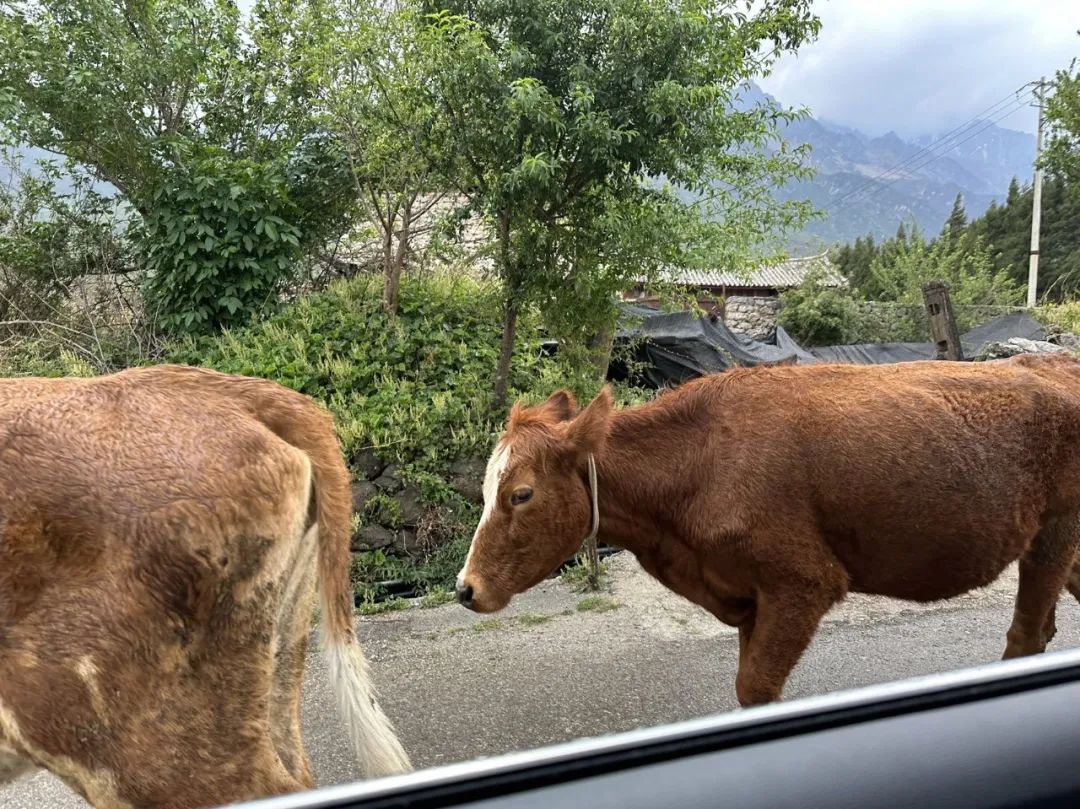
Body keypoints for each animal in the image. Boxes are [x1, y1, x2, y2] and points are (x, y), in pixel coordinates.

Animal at [460, 354, 1080, 708]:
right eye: (486, 491)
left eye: (520, 494)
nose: (466, 589)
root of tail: (1055, 358)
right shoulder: (745, 595)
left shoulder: (802, 582)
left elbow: (755, 688)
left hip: (1055, 532)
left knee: (1027, 634)